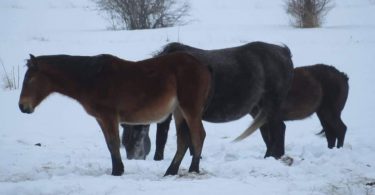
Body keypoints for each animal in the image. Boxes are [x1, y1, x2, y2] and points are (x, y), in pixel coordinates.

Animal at [19, 52, 213, 176]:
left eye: (30, 79)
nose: (22, 106)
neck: (91, 79)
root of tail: (203, 65)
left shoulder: (109, 116)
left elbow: (114, 143)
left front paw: (117, 171)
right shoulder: (101, 119)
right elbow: (110, 144)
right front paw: (117, 169)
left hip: (190, 109)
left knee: (198, 135)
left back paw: (193, 169)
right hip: (179, 111)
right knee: (184, 140)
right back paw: (170, 171)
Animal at [122, 41, 296, 165]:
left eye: (135, 135)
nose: (132, 158)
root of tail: (283, 52)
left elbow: (164, 139)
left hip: (270, 106)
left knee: (278, 130)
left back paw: (273, 157)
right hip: (258, 109)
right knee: (270, 131)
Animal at [123, 63, 350, 161]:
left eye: (134, 138)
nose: (133, 157)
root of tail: (342, 75)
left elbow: (274, 135)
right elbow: (269, 136)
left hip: (329, 111)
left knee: (340, 129)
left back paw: (338, 151)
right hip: (323, 112)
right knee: (332, 133)